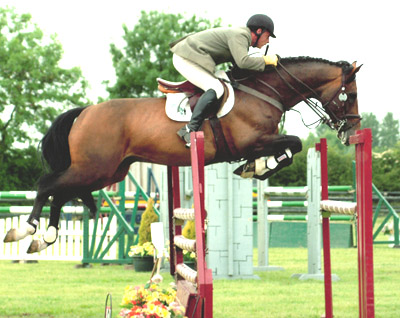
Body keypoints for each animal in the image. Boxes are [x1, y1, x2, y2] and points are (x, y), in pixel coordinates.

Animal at [3, 56, 360, 252]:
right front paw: (257, 166)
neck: (263, 91)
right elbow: (293, 144)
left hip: (108, 172)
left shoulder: (263, 140)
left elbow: (290, 148)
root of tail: (86, 112)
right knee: (48, 186)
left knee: (62, 192)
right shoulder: (253, 140)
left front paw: (256, 167)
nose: (350, 130)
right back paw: (26, 230)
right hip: (94, 168)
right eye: (351, 94)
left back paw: (46, 237)